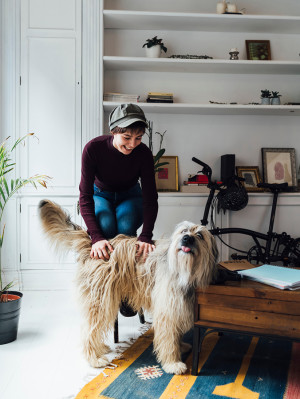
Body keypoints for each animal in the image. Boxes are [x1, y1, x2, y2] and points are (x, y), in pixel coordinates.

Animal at [39, 200, 218, 376]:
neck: (183, 271)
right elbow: (168, 339)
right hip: (100, 300)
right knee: (90, 330)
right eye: (183, 231)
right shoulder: (167, 310)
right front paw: (172, 363)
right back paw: (94, 359)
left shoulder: (178, 308)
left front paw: (181, 347)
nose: (186, 239)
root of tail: (94, 246)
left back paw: (100, 348)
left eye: (200, 235)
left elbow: (176, 334)